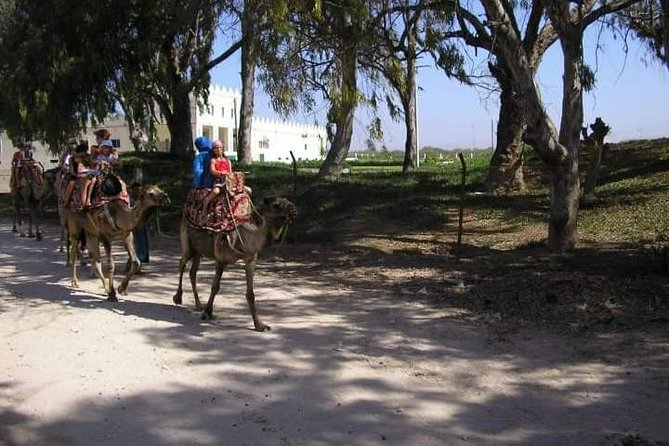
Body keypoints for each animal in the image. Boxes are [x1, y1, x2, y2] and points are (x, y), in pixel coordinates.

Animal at [174, 196, 296, 332]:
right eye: (276, 205)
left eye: (287, 201)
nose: (294, 210)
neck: (242, 239)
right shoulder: (221, 259)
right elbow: (215, 287)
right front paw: (207, 313)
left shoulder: (250, 260)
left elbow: (250, 294)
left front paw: (260, 325)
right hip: (187, 242)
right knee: (182, 262)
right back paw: (178, 298)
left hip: (198, 251)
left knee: (193, 272)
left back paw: (199, 304)